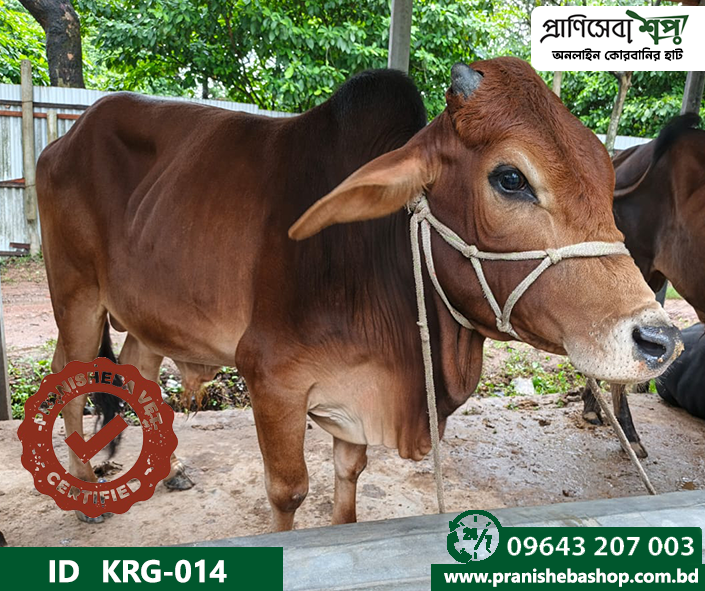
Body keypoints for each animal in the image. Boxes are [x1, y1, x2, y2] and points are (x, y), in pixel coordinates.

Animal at [37, 57, 681, 531]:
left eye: (605, 172)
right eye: (510, 178)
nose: (658, 339)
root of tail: (64, 140)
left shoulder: (353, 404)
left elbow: (348, 483)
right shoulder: (271, 379)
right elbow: (289, 494)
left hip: (146, 314)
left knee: (133, 368)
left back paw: (158, 470)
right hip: (76, 296)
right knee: (70, 376)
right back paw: (87, 492)